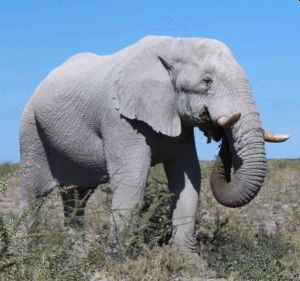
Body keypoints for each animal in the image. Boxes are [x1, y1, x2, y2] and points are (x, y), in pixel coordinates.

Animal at [19, 34, 288, 249]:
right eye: (207, 81)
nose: (218, 132)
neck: (174, 46)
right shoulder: (119, 118)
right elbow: (133, 178)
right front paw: (119, 259)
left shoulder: (179, 123)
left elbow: (187, 176)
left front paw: (185, 258)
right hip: (31, 129)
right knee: (33, 193)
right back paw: (29, 254)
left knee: (76, 198)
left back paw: (76, 254)